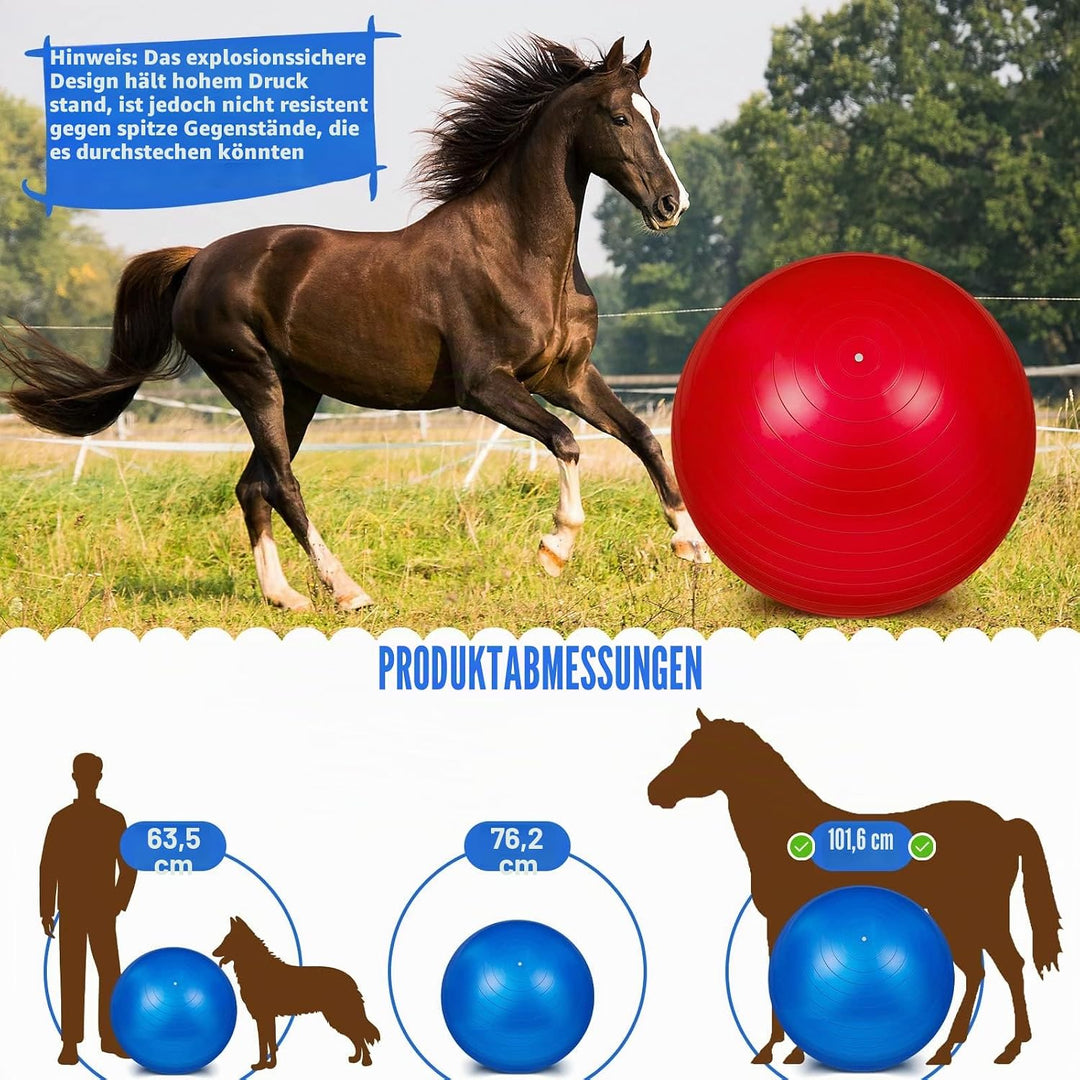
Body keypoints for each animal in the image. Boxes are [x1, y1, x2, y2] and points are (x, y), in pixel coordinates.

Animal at [0, 36, 709, 611]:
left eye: (655, 115)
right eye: (619, 116)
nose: (671, 205)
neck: (519, 254)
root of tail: (198, 260)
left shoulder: (567, 376)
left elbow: (642, 438)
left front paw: (691, 545)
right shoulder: (487, 387)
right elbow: (566, 442)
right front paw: (555, 548)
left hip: (298, 393)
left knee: (251, 485)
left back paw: (285, 596)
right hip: (253, 380)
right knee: (281, 483)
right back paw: (346, 589)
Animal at [647, 711, 1062, 1068]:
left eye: (700, 753)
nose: (655, 791)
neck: (786, 829)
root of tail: (1005, 825)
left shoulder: (781, 917)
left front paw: (778, 1050)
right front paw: (785, 1050)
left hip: (975, 914)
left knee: (1006, 967)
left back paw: (1008, 1049)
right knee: (980, 971)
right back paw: (949, 1050)